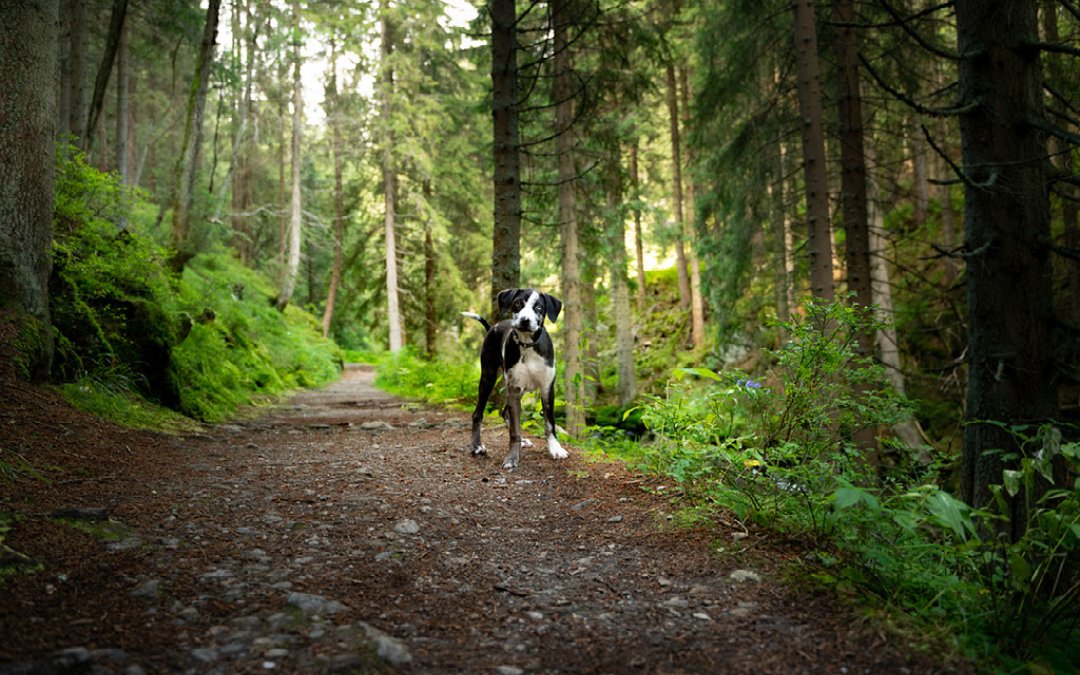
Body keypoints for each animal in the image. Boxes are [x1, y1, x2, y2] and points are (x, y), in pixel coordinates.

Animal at [462, 287, 570, 468]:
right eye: (518, 304)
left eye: (539, 308)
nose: (525, 320)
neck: (528, 347)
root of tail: (492, 328)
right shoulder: (514, 388)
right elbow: (514, 430)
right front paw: (512, 457)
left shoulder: (547, 388)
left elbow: (550, 423)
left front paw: (556, 449)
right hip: (488, 377)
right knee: (478, 414)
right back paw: (476, 446)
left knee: (505, 411)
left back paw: (523, 441)